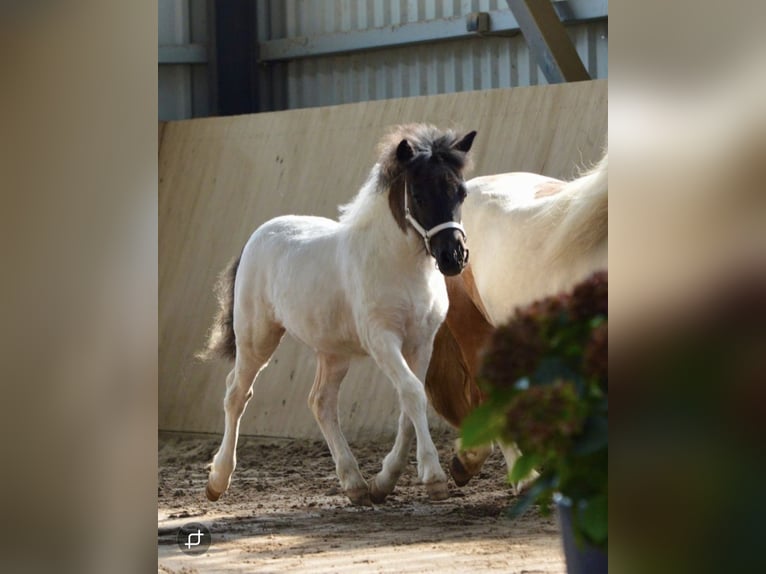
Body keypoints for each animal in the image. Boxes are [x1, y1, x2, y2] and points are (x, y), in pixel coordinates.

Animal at [199, 124, 477, 506]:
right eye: (419, 195)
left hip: (333, 352)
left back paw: (355, 483)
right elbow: (411, 393)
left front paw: (384, 481)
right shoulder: (382, 339)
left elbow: (410, 403)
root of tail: (256, 236)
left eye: (461, 192)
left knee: (321, 402)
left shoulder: (421, 343)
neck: (400, 267)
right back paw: (217, 480)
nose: (454, 257)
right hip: (257, 339)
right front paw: (433, 476)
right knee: (236, 395)